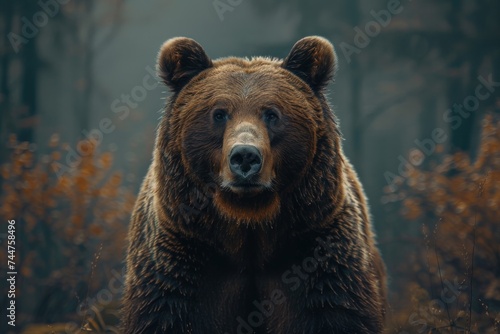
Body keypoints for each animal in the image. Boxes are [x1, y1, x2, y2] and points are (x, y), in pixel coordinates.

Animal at [121, 35, 386, 332]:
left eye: (272, 114)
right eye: (219, 113)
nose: (245, 156)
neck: (248, 226)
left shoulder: (318, 249)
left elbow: (336, 310)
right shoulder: (181, 254)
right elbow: (164, 310)